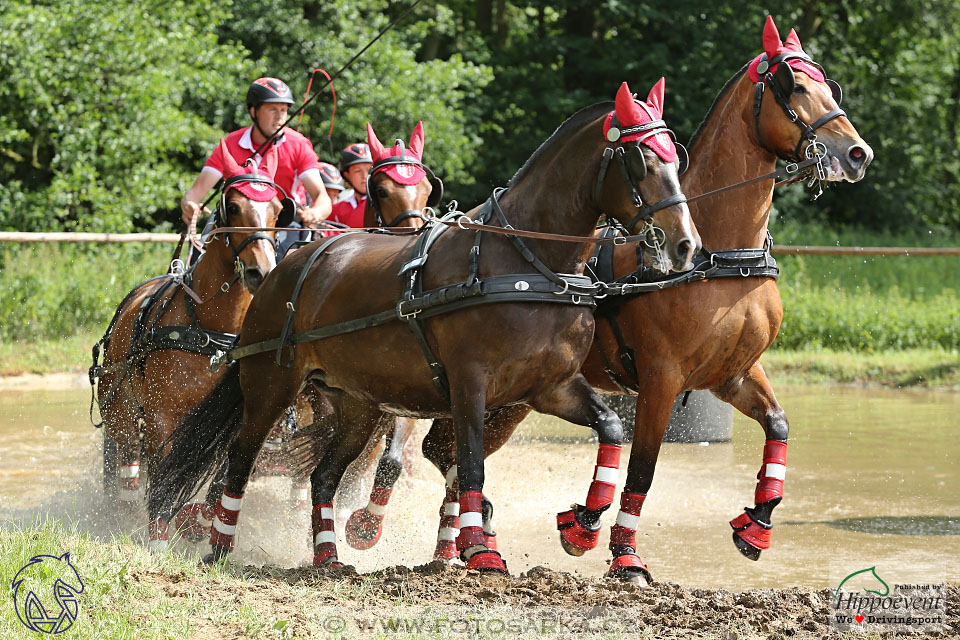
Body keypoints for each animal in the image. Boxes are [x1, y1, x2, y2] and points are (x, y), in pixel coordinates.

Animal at [90, 140, 292, 552]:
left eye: (278, 210)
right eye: (233, 206)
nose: (261, 272)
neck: (210, 332)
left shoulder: (231, 417)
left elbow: (222, 474)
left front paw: (197, 525)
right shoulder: (162, 416)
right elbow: (163, 475)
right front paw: (157, 543)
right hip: (119, 409)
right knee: (127, 459)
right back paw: (121, 515)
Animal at [150, 77, 700, 572]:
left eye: (677, 158)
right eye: (641, 160)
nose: (685, 244)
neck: (527, 261)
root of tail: (284, 269)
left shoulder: (551, 386)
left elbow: (610, 428)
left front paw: (582, 524)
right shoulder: (470, 384)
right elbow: (471, 462)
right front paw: (480, 550)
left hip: (357, 404)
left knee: (324, 474)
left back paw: (328, 557)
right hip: (272, 383)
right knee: (240, 457)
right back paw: (219, 547)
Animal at [352, 16, 872, 580]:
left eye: (830, 85)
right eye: (793, 87)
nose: (857, 153)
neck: (723, 254)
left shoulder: (733, 373)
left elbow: (778, 424)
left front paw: (757, 522)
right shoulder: (662, 377)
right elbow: (642, 469)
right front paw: (619, 551)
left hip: (510, 397)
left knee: (446, 448)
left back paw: (454, 547)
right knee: (440, 449)